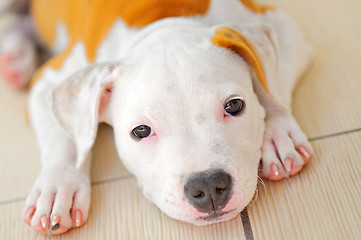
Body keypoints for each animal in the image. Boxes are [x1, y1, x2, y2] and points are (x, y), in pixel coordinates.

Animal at [0, 0, 312, 234]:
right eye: (141, 131)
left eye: (234, 106)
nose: (208, 186)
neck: (161, 21)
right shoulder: (49, 82)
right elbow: (65, 140)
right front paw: (58, 187)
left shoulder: (277, 23)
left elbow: (273, 83)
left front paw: (278, 135)